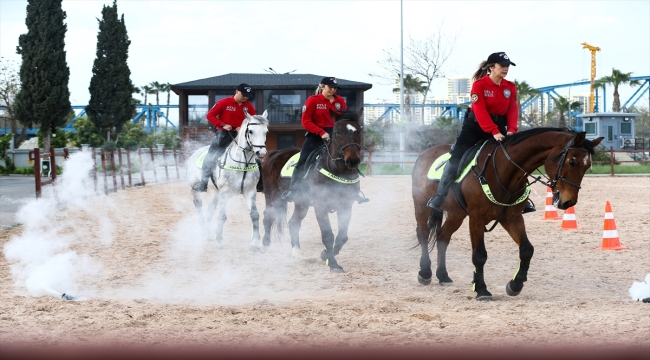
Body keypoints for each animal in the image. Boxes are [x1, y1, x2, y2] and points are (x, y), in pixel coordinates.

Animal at [187, 111, 268, 252]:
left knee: (210, 209)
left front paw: (254, 244)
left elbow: (254, 215)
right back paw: (202, 231)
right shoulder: (225, 193)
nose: (261, 152)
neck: (243, 163)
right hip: (195, 188)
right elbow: (221, 216)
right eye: (250, 131)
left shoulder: (250, 192)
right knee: (198, 205)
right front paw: (219, 242)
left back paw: (208, 233)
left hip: (216, 192)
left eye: (266, 131)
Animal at [264, 110, 364, 272]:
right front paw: (333, 263)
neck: (338, 171)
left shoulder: (346, 206)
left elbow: (342, 236)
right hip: (272, 196)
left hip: (301, 204)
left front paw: (326, 255)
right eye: (338, 132)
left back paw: (296, 252)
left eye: (358, 131)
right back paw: (263, 246)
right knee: (268, 217)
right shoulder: (320, 207)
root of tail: (275, 154)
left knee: (294, 223)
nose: (353, 160)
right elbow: (328, 235)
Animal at [410, 129, 604, 300]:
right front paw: (482, 290)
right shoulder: (476, 219)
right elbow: (479, 255)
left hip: (456, 214)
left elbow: (527, 250)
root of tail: (425, 153)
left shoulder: (511, 218)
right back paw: (425, 273)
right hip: (422, 206)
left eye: (588, 165)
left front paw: (515, 285)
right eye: (572, 162)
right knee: (423, 233)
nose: (568, 202)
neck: (504, 171)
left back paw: (443, 276)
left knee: (443, 236)